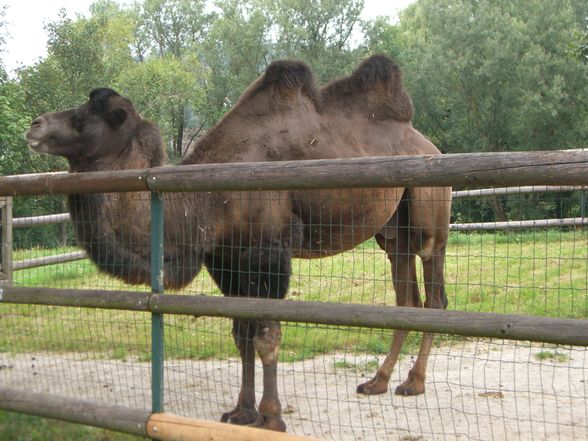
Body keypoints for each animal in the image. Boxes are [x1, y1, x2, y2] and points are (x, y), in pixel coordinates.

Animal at [26, 54, 450, 430]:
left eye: (86, 117)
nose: (34, 124)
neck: (205, 201)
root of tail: (429, 146)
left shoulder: (270, 252)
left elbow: (266, 334)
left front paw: (272, 417)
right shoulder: (225, 258)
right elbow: (241, 334)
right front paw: (241, 412)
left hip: (430, 209)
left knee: (435, 294)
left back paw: (413, 382)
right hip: (392, 231)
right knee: (405, 298)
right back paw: (378, 381)